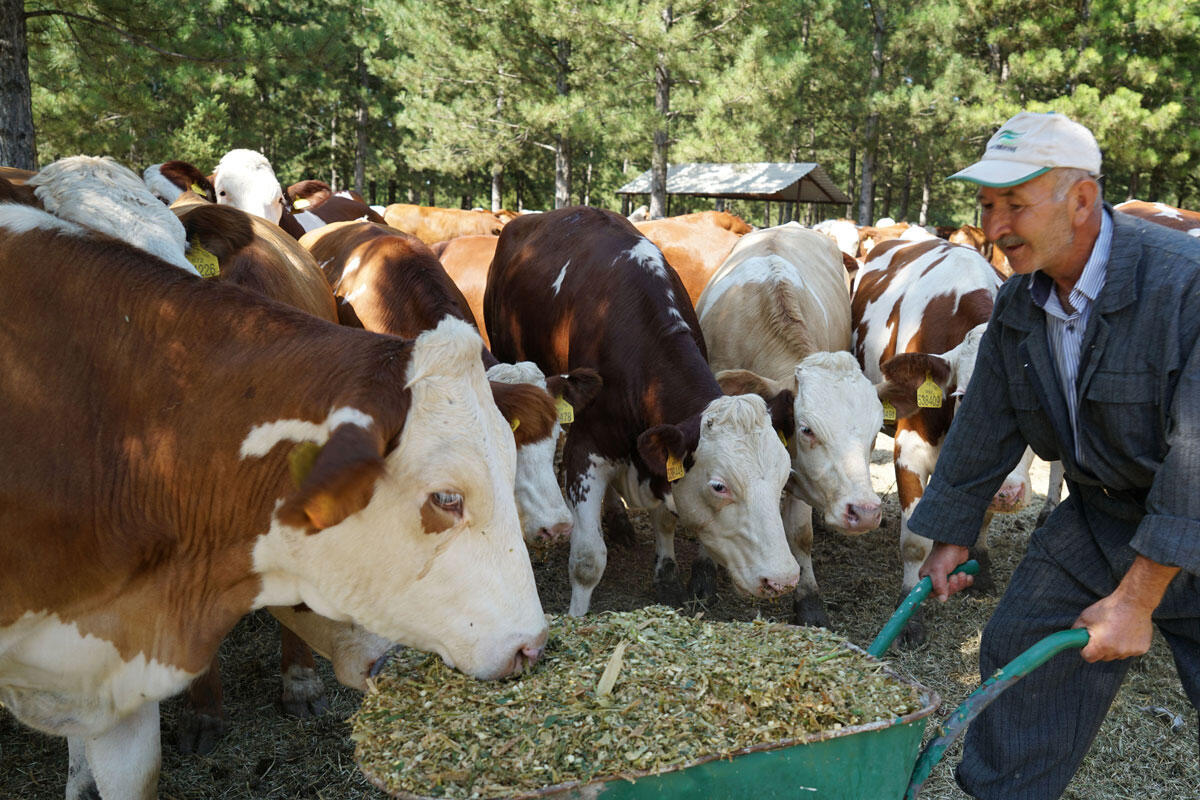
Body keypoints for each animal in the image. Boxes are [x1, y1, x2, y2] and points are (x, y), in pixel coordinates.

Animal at [482, 205, 801, 614]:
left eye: (783, 475)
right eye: (719, 486)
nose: (782, 579)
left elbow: (665, 518)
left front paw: (666, 575)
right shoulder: (585, 449)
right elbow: (587, 559)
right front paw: (576, 615)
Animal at [849, 236, 1036, 642]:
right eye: (965, 396)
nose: (1007, 492)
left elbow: (981, 517)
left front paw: (980, 564)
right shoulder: (909, 449)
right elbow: (914, 541)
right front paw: (909, 613)